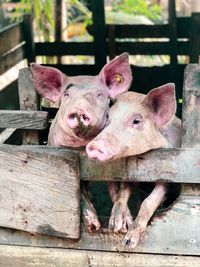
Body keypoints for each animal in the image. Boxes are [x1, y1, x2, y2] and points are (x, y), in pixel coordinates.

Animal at [30, 54, 133, 234]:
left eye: (99, 94)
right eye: (66, 95)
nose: (78, 110)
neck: (82, 146)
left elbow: (121, 188)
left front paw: (120, 228)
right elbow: (80, 192)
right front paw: (93, 227)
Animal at [86, 84, 180, 249]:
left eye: (136, 121)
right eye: (108, 119)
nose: (94, 145)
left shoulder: (167, 179)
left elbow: (149, 202)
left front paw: (129, 242)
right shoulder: (131, 175)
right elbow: (122, 191)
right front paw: (115, 226)